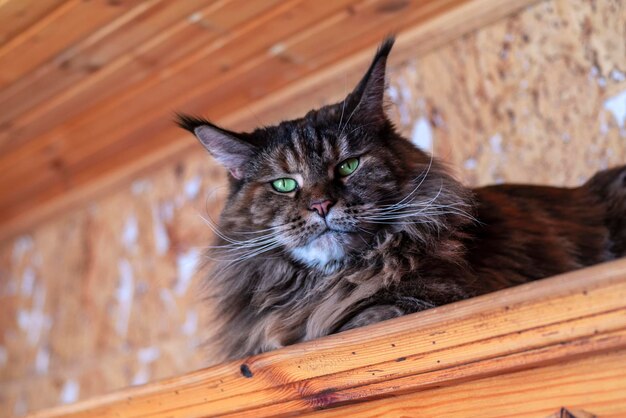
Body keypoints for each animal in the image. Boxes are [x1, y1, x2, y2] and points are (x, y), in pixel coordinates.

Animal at [174, 36, 624, 362]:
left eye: (349, 166)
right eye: (284, 184)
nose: (321, 206)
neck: (322, 286)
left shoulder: (429, 300)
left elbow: (358, 318)